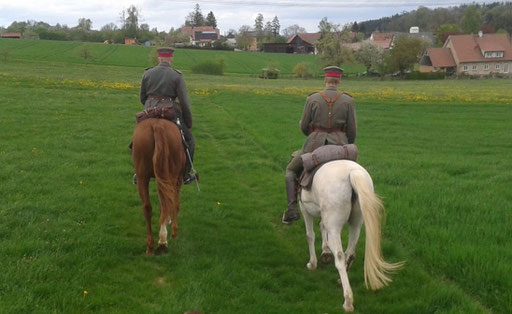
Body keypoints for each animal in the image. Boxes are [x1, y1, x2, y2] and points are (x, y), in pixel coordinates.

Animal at [132, 118, 186, 255]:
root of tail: (157, 126)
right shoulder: (177, 178)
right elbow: (173, 204)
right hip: (171, 176)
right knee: (169, 203)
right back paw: (163, 241)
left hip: (142, 177)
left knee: (147, 207)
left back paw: (151, 246)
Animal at [300, 159, 404, 312]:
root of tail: (353, 173)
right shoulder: (324, 217)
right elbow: (321, 227)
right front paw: (325, 252)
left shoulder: (305, 210)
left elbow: (310, 235)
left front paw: (312, 263)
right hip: (356, 223)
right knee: (350, 253)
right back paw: (341, 282)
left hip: (335, 227)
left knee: (340, 257)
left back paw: (348, 301)